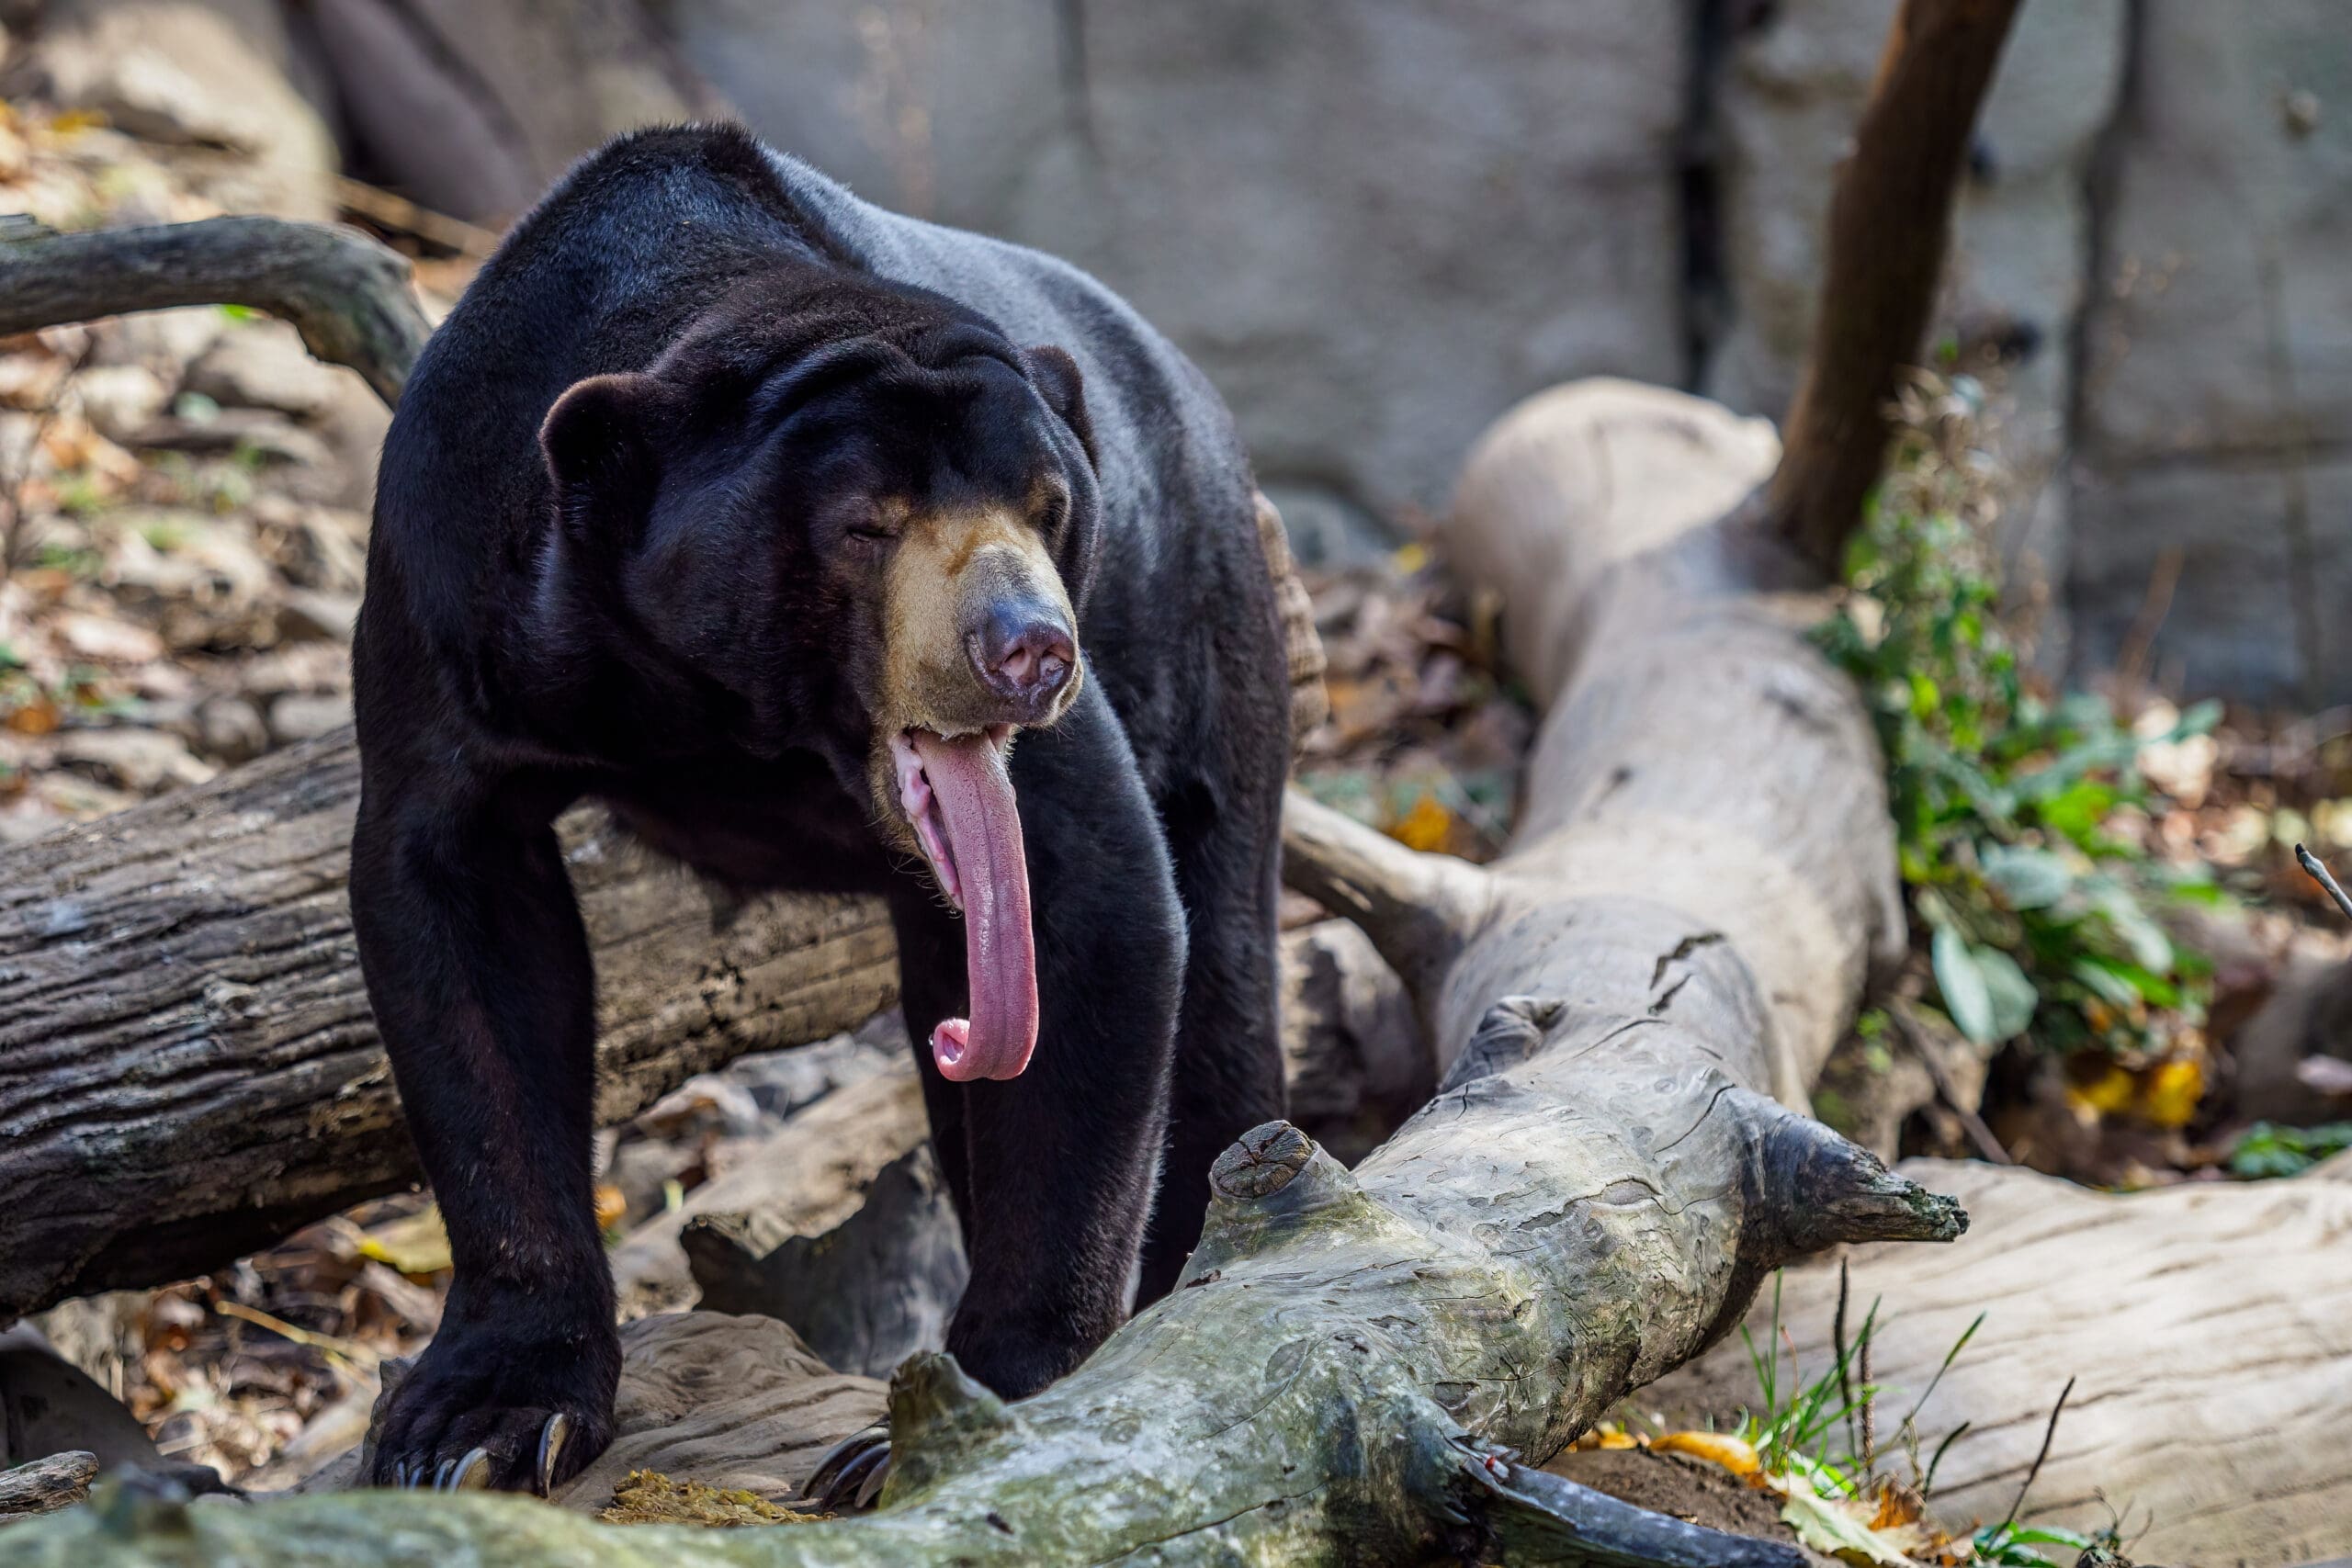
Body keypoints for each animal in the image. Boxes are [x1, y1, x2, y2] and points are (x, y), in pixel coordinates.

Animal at [353, 122, 1288, 1495]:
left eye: (1049, 507)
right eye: (864, 524)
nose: (1031, 651)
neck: (736, 704)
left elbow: (1094, 901)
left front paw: (956, 1416)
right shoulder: (452, 586)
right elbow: (458, 919)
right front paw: (474, 1424)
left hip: (1205, 632)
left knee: (1219, 982)